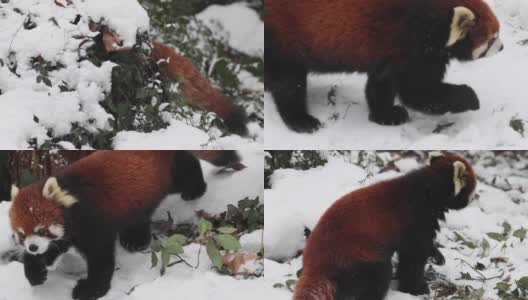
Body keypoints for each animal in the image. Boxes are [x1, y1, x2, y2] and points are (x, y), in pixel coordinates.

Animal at [9, 151, 240, 298]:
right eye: (21, 234)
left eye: (41, 229)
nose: (32, 247)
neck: (72, 195)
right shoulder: (71, 230)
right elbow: (55, 246)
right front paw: (36, 270)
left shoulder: (93, 221)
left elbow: (100, 257)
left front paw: (91, 289)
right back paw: (135, 239)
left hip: (170, 172)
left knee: (186, 169)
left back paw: (195, 189)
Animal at [266, 0, 502, 131]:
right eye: (492, 38)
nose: (502, 48)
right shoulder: (412, 42)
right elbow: (418, 92)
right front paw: (470, 97)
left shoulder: (391, 52)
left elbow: (381, 84)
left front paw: (385, 115)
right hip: (286, 37)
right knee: (288, 82)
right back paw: (300, 120)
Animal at [292, 152, 478, 300]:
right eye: (471, 192)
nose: (470, 202)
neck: (429, 188)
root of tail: (315, 261)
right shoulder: (415, 220)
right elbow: (413, 258)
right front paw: (416, 288)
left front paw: (438, 256)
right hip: (357, 256)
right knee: (378, 277)